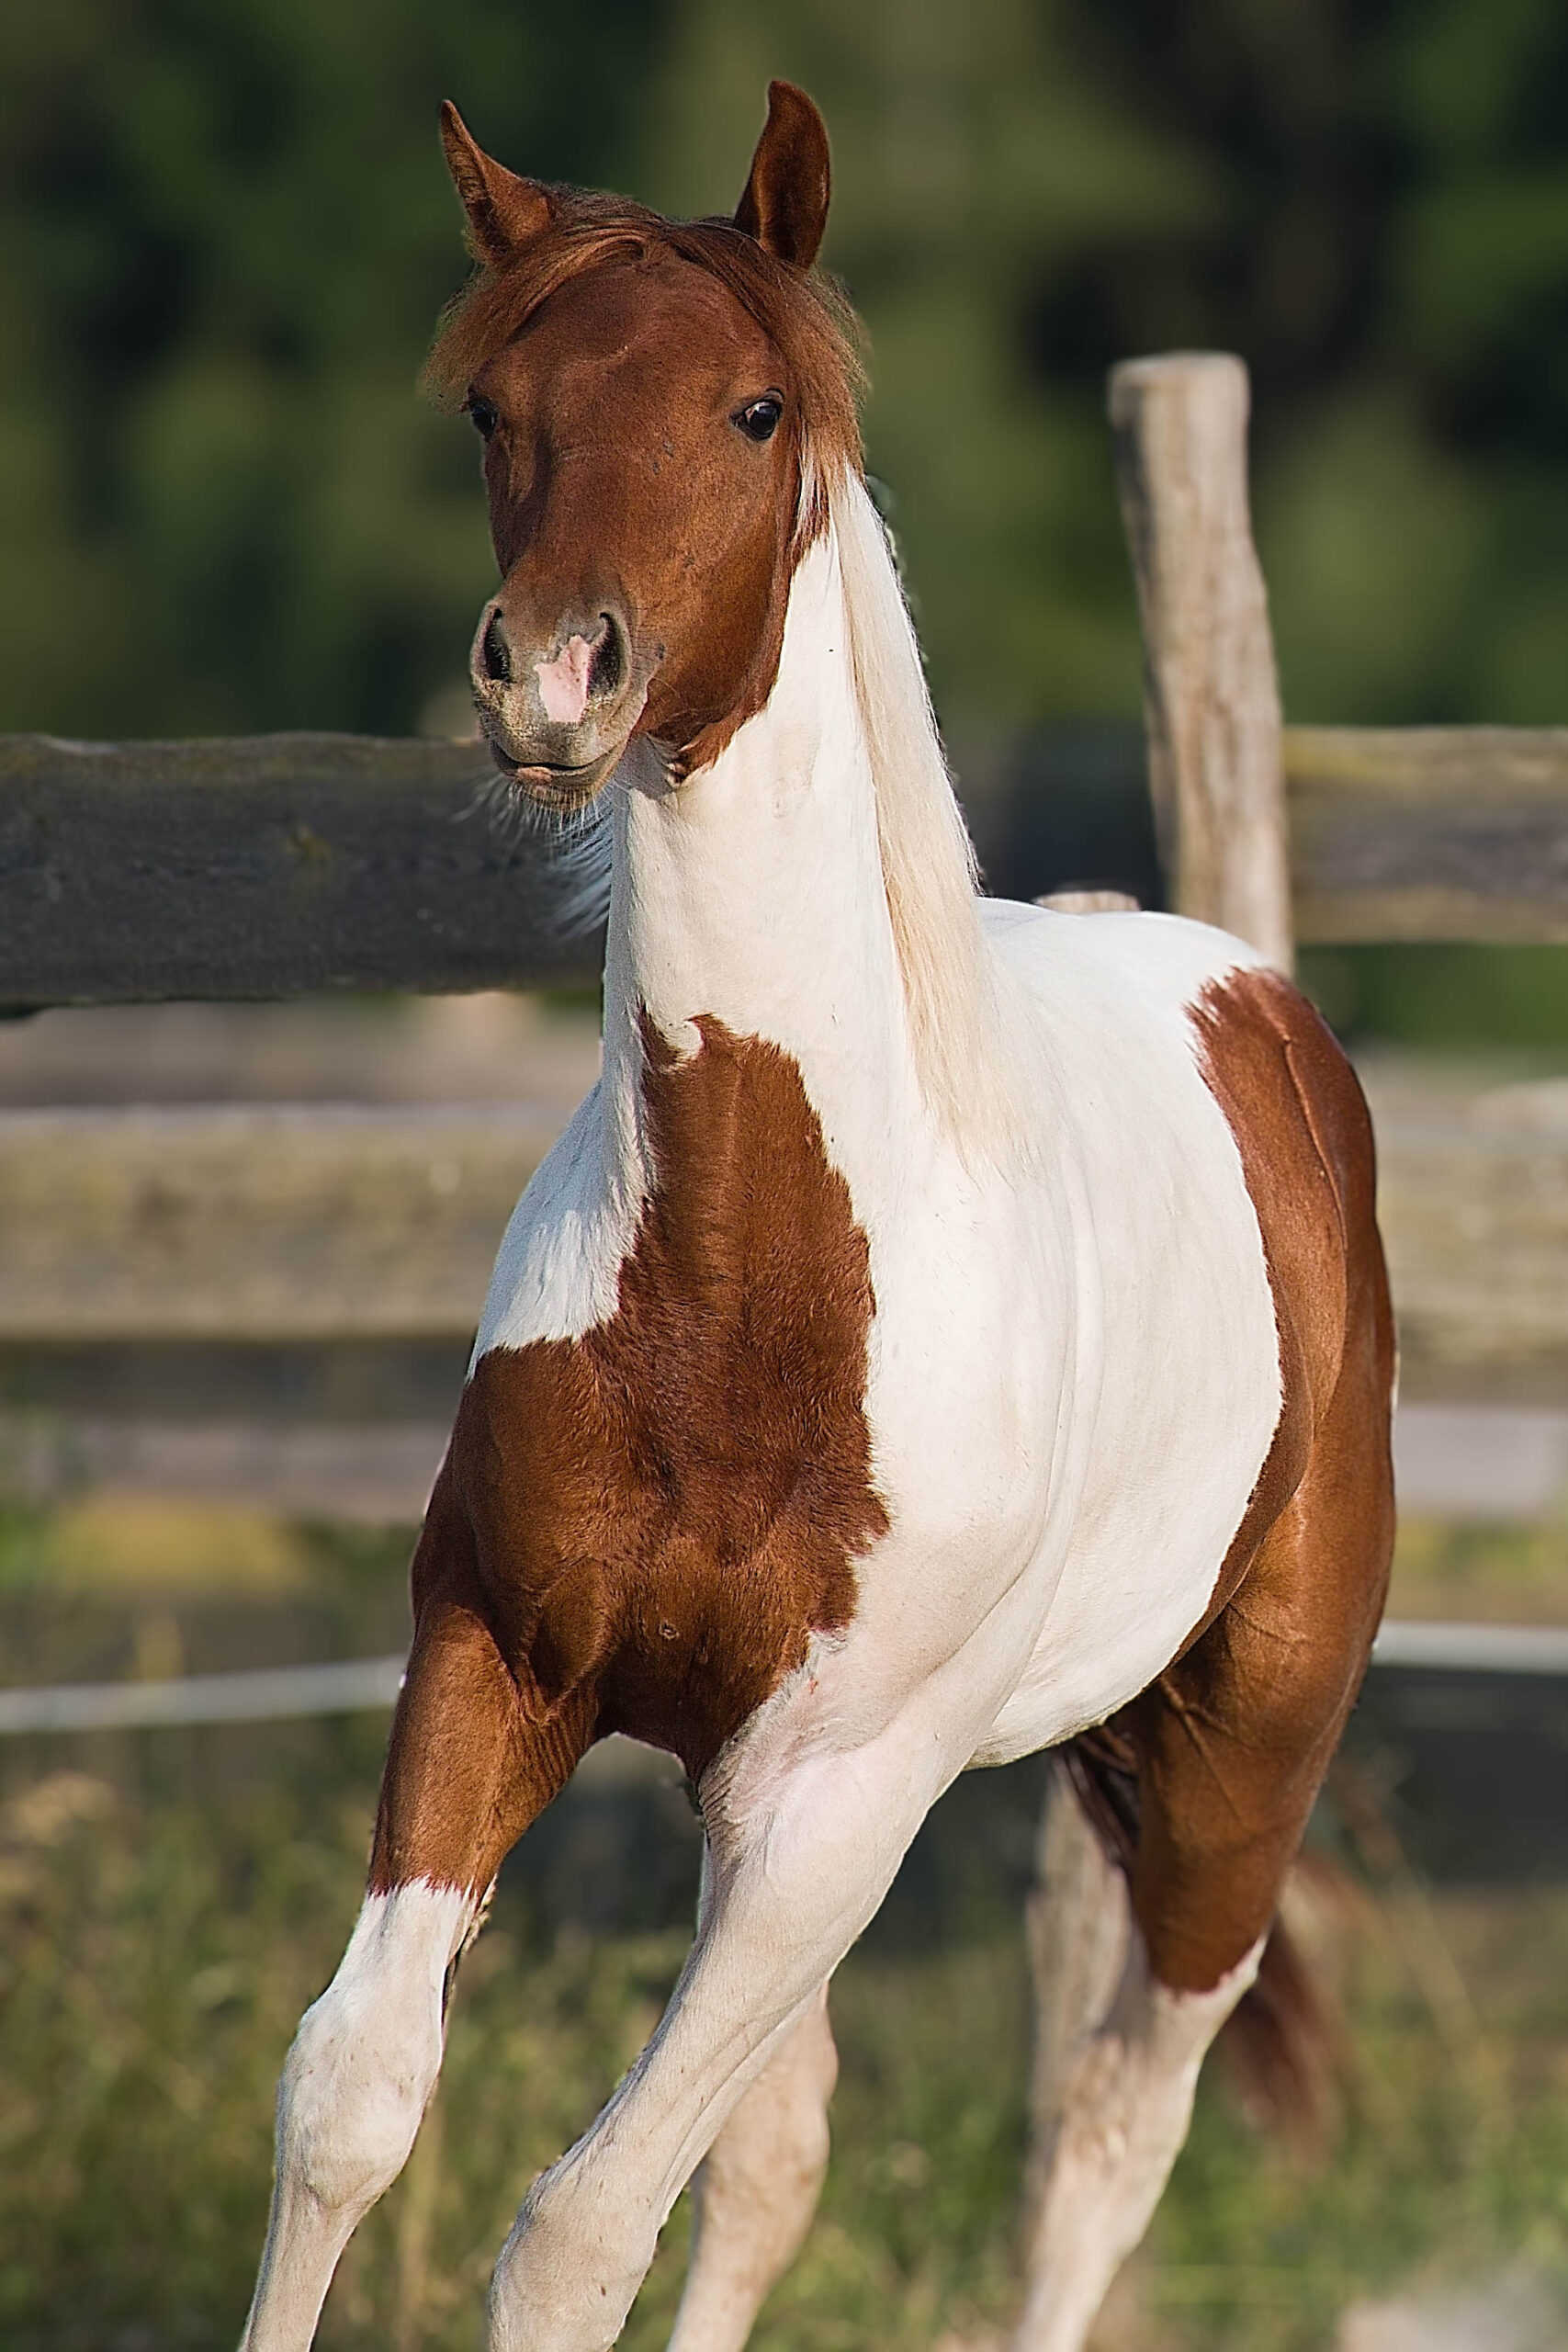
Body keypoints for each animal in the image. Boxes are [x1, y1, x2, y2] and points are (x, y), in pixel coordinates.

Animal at [245, 74, 1401, 2352]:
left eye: (753, 407)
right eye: (495, 406)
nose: (554, 677)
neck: (753, 1267)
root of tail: (1262, 1014)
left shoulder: (839, 1795)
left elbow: (580, 2221)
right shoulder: (496, 1656)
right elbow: (355, 2097)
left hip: (1223, 1788)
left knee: (1100, 2144)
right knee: (776, 2161)